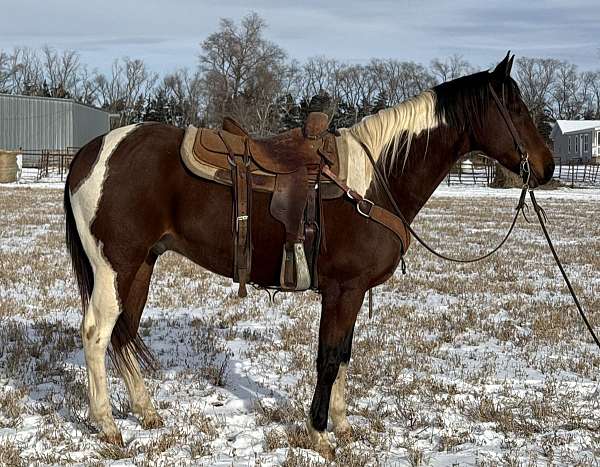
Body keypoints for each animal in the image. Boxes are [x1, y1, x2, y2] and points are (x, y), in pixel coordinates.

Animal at [64, 54, 552, 458]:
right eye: (516, 109)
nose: (546, 167)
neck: (376, 180)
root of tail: (92, 151)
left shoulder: (352, 292)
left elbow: (345, 354)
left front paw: (342, 425)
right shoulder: (342, 290)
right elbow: (330, 356)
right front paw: (319, 433)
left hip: (142, 264)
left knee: (124, 331)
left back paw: (147, 412)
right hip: (115, 266)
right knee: (97, 333)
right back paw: (107, 425)